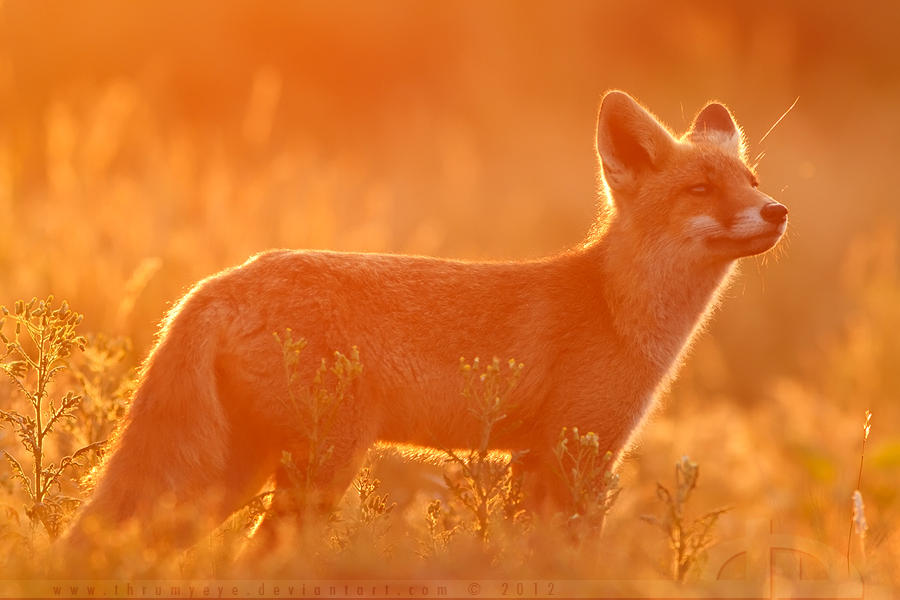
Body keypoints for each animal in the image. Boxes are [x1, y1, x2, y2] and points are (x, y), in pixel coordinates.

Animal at [63, 91, 787, 557]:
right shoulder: (570, 457)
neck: (616, 313)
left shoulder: (534, 459)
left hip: (229, 477)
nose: (777, 210)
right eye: (701, 190)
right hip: (314, 472)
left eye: (750, 181)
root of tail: (218, 282)